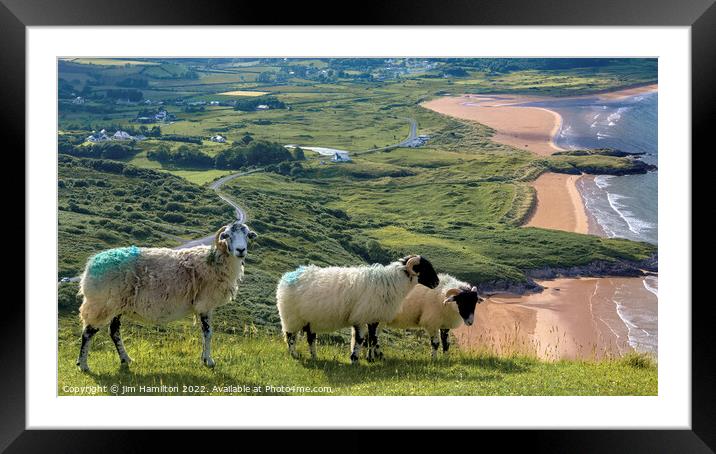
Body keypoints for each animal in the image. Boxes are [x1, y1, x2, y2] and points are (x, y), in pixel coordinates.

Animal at [75, 221, 258, 372]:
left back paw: (126, 359)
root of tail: (90, 267)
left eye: (247, 235)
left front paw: (203, 358)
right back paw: (83, 365)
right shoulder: (205, 304)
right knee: (88, 333)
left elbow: (204, 333)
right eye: (227, 235)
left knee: (114, 332)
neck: (215, 261)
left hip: (116, 305)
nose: (241, 250)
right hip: (102, 304)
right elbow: (208, 332)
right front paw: (209, 361)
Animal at [276, 255, 440, 366]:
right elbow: (361, 339)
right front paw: (355, 360)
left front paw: (370, 359)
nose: (437, 282)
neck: (392, 282)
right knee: (290, 337)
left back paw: (314, 357)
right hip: (291, 317)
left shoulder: (373, 317)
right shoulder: (361, 316)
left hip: (309, 319)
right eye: (424, 268)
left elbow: (372, 339)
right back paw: (295, 355)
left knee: (310, 339)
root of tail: (286, 277)